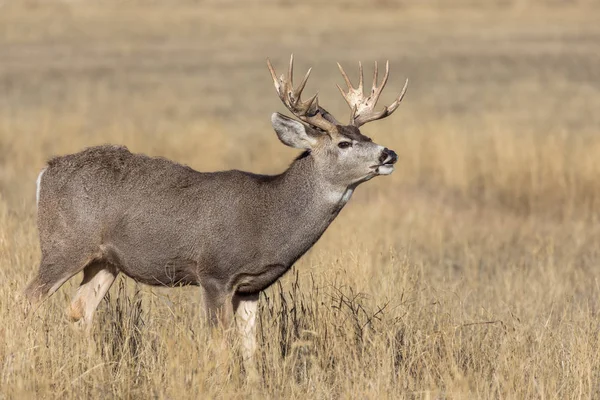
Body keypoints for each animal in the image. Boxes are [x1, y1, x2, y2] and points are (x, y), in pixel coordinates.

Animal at [23, 55, 408, 368]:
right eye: (344, 143)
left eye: (366, 136)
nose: (389, 154)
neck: (268, 216)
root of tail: (45, 172)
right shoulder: (214, 273)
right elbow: (220, 345)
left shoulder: (251, 286)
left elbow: (251, 348)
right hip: (64, 244)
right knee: (29, 298)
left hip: (105, 260)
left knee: (79, 311)